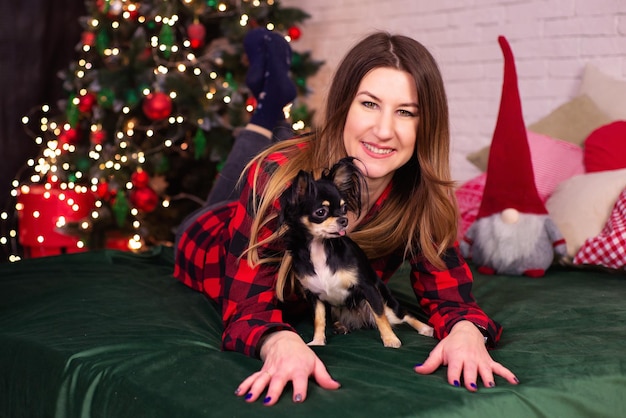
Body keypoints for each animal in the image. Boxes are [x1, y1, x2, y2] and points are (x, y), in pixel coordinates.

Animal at [280, 157, 432, 346]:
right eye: (321, 212)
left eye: (344, 208)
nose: (343, 220)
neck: (320, 246)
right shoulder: (315, 297)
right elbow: (319, 320)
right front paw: (317, 341)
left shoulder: (368, 288)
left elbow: (380, 317)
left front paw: (390, 339)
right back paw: (341, 326)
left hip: (387, 303)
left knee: (402, 315)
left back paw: (424, 328)